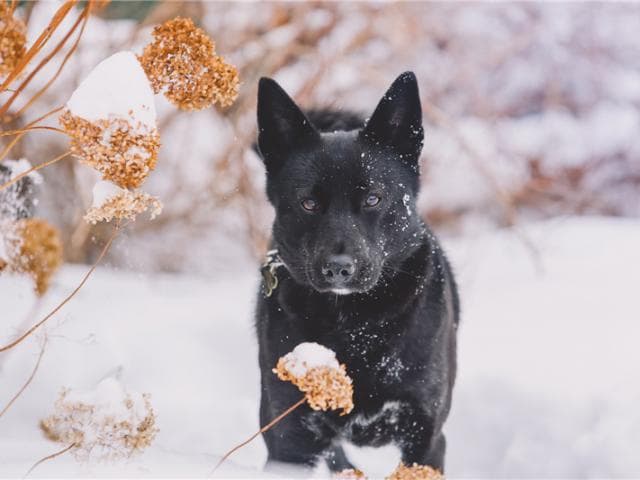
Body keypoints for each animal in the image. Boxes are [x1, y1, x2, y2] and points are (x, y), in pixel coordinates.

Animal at [252, 72, 458, 476]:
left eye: (373, 199)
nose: (339, 269)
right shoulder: (288, 438)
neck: (354, 324)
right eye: (308, 203)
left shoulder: (425, 439)